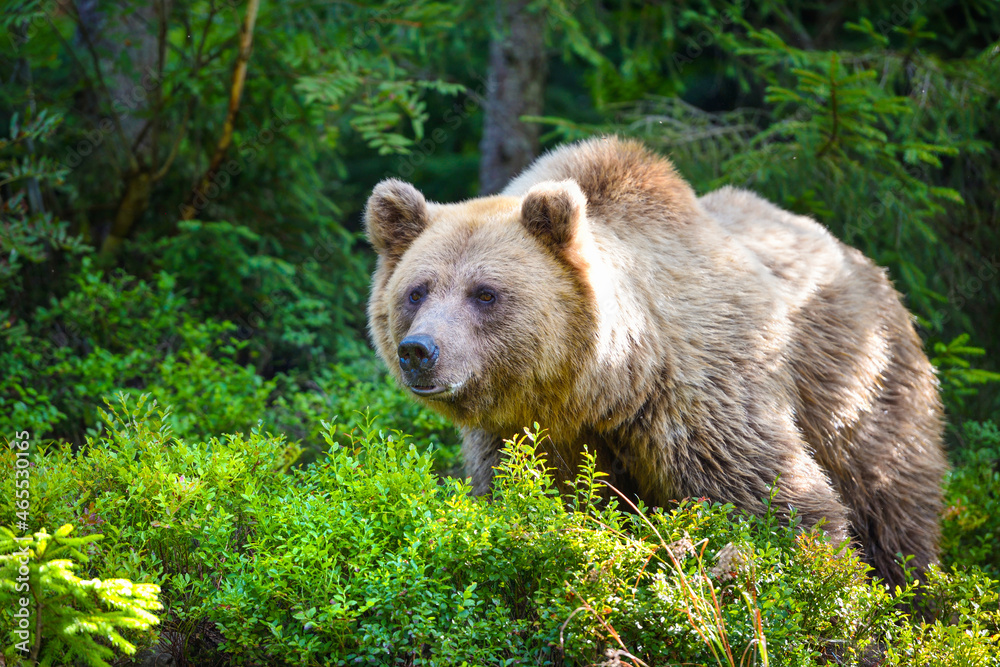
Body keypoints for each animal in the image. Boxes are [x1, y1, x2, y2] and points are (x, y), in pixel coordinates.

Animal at [366, 137, 944, 588]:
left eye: (484, 293)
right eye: (418, 291)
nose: (420, 351)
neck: (601, 386)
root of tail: (865, 261)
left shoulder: (701, 404)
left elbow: (780, 504)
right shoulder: (522, 435)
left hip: (860, 382)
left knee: (890, 500)